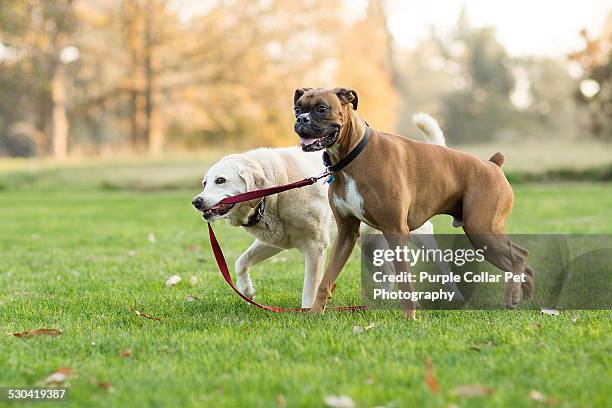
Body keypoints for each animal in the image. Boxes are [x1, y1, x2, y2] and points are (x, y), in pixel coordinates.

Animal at [191, 113, 454, 308]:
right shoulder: (273, 243)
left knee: (442, 263)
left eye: (221, 181)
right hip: (370, 243)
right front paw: (246, 290)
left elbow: (310, 288)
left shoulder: (315, 248)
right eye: (205, 183)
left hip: (415, 234)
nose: (196, 201)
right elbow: (241, 262)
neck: (277, 188)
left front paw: (308, 312)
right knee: (388, 271)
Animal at [294, 87, 532, 318]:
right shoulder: (347, 233)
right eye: (297, 108)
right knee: (525, 267)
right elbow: (327, 279)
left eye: (322, 108)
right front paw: (315, 313)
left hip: (482, 231)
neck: (352, 156)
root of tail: (493, 164)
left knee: (521, 256)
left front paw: (410, 317)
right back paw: (525, 299)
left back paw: (512, 296)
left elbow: (404, 280)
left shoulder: (395, 230)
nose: (301, 119)